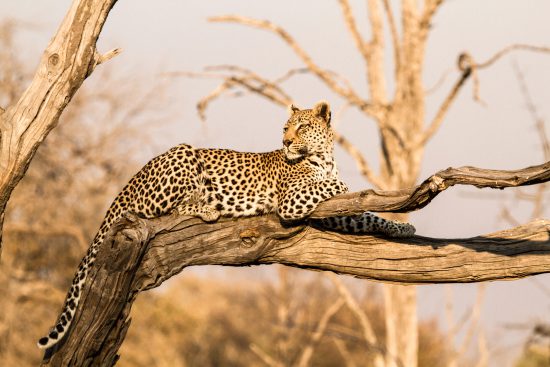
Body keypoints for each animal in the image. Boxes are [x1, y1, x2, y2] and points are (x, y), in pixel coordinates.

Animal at [38, 100, 416, 350]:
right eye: (285, 128)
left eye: (302, 127)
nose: (286, 142)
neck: (323, 158)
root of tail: (126, 184)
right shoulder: (293, 200)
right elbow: (330, 187)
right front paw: (346, 185)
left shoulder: (333, 211)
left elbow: (365, 215)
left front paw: (402, 229)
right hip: (183, 154)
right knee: (168, 209)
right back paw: (208, 208)